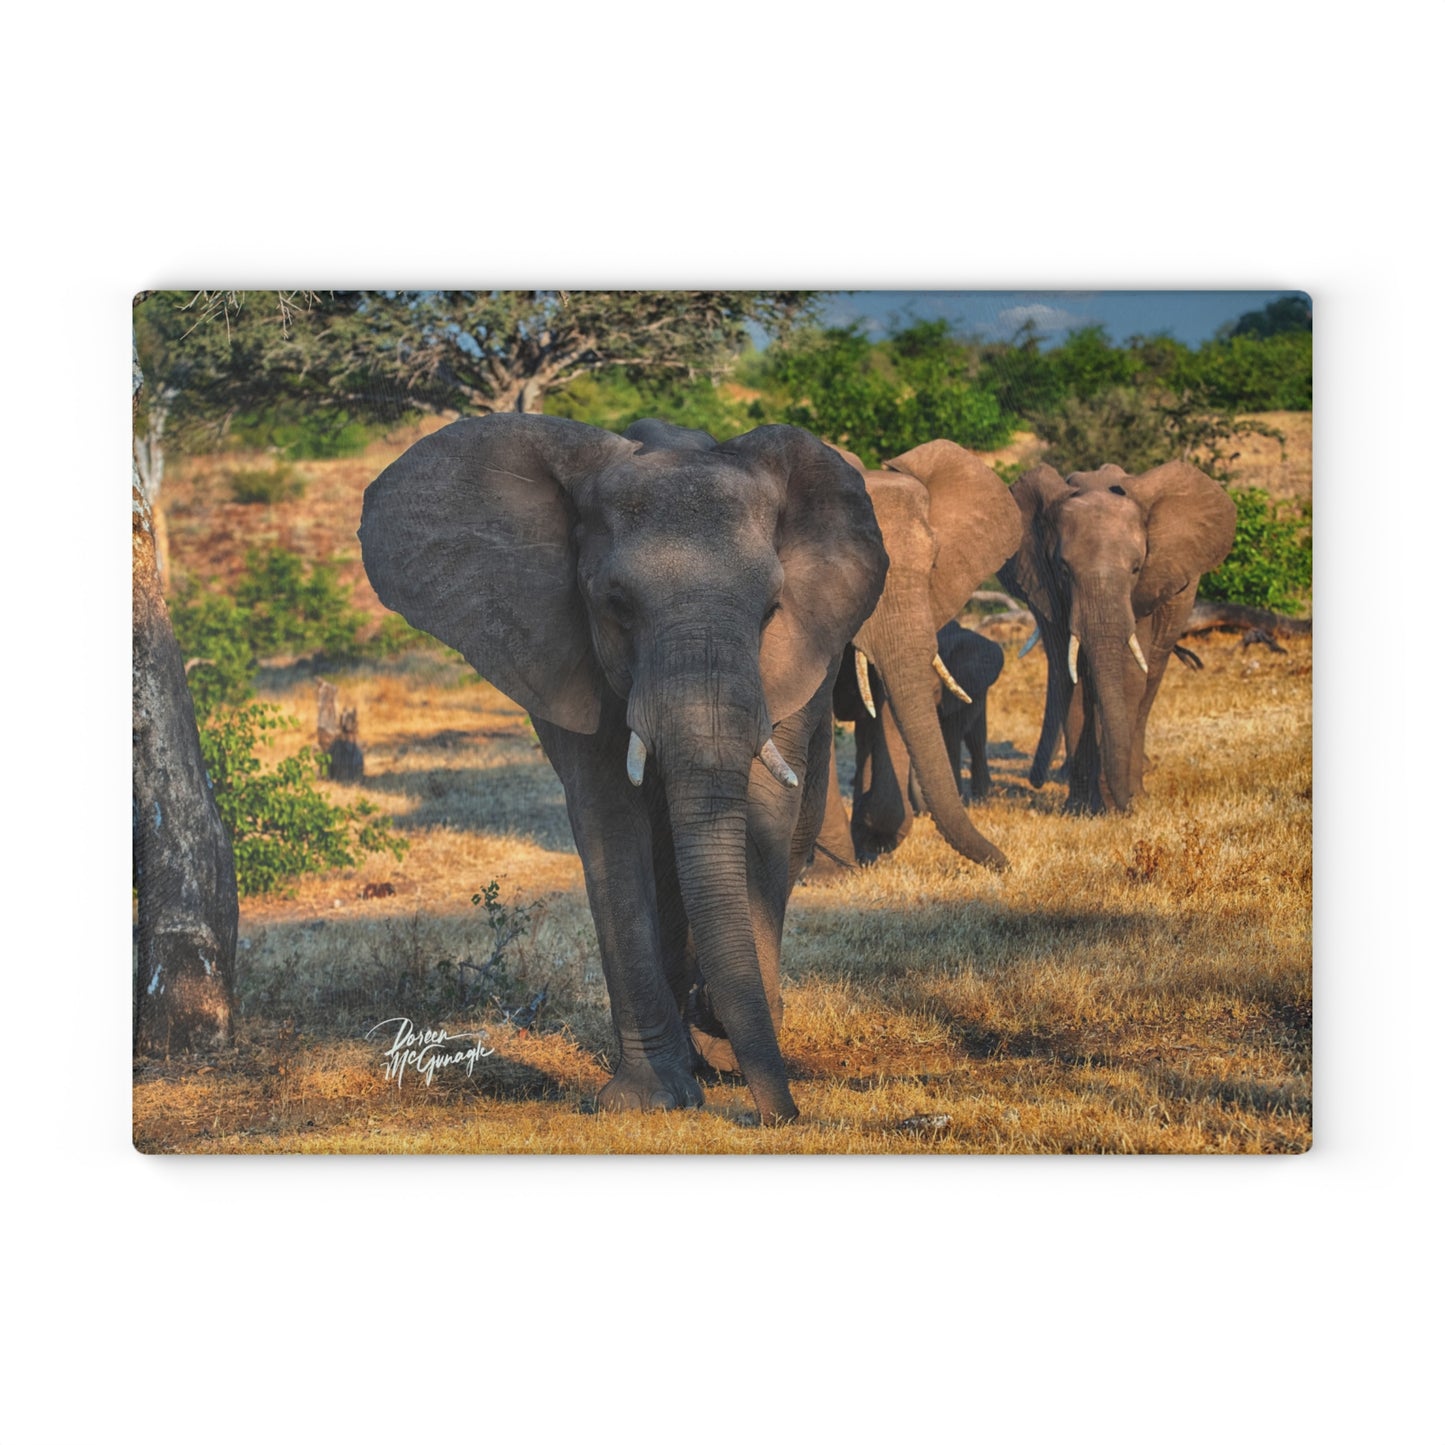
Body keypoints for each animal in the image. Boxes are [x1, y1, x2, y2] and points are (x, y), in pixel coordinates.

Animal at [358, 414, 888, 1124]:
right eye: (617, 604)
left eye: (771, 609)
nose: (782, 1117)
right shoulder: (564, 652)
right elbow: (610, 818)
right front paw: (649, 1099)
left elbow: (762, 808)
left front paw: (721, 1041)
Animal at [997, 460, 1236, 813]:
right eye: (1064, 569)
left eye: (1136, 569)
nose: (1034, 781)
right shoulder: (1044, 584)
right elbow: (1071, 677)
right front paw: (1080, 810)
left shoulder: (1147, 589)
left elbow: (1127, 676)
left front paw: (1117, 804)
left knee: (1150, 681)